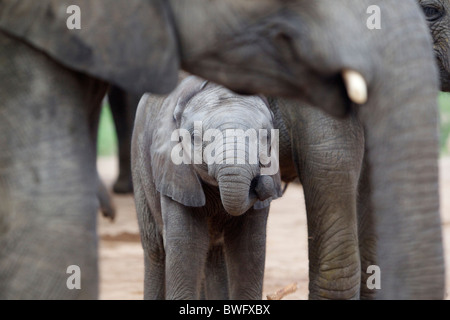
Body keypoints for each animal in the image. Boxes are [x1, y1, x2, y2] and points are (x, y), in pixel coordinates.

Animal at [130, 75, 284, 300]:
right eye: (194, 137)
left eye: (267, 137)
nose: (261, 184)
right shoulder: (175, 172)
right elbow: (186, 243)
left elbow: (248, 247)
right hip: (138, 158)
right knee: (155, 249)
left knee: (214, 252)